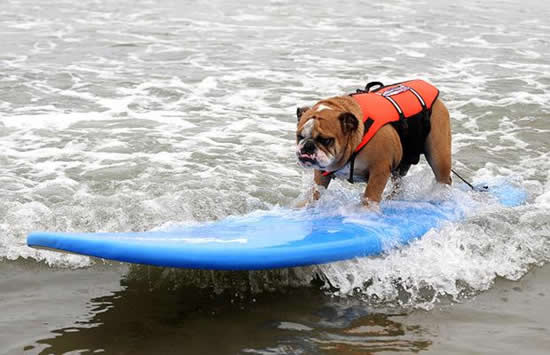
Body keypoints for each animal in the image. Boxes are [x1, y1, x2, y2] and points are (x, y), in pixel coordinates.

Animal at [298, 80, 452, 209]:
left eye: (326, 140)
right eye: (299, 136)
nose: (308, 146)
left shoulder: (379, 170)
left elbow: (370, 195)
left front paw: (365, 211)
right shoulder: (321, 173)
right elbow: (317, 190)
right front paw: (307, 203)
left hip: (439, 156)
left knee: (443, 177)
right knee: (398, 182)